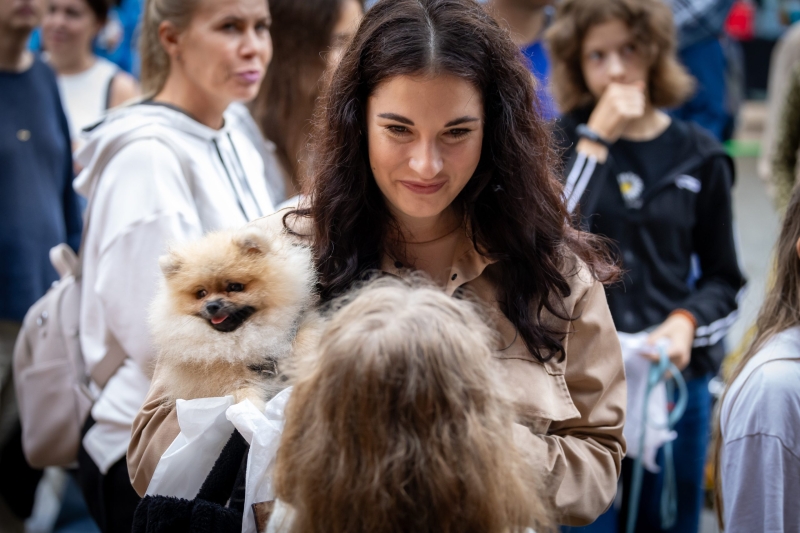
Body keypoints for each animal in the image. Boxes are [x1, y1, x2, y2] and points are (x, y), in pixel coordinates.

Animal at [148, 221, 318, 408]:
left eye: (235, 287)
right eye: (201, 293)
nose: (212, 305)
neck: (241, 341)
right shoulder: (228, 381)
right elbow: (245, 398)